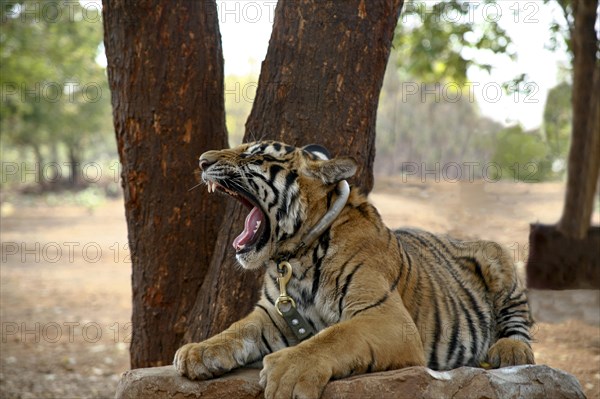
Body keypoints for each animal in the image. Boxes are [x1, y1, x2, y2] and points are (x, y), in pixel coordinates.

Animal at [173, 141, 536, 399]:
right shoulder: (273, 314)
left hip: (496, 256)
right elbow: (237, 329)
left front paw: (286, 370)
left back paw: (509, 350)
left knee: (521, 325)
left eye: (255, 155)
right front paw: (197, 351)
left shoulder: (386, 316)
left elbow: (334, 337)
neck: (294, 258)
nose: (202, 161)